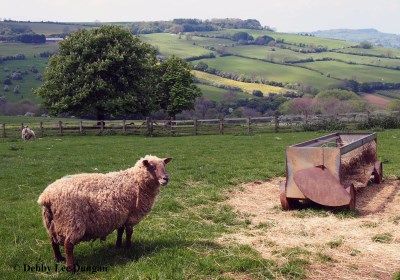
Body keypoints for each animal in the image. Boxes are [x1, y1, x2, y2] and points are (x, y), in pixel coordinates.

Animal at [38, 154, 173, 272]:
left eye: (164, 165)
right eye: (152, 166)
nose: (166, 179)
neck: (135, 181)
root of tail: (46, 197)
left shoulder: (121, 215)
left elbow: (120, 231)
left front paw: (118, 246)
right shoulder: (131, 215)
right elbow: (129, 232)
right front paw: (128, 247)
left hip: (52, 222)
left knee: (53, 241)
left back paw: (58, 258)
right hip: (72, 221)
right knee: (68, 245)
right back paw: (71, 268)